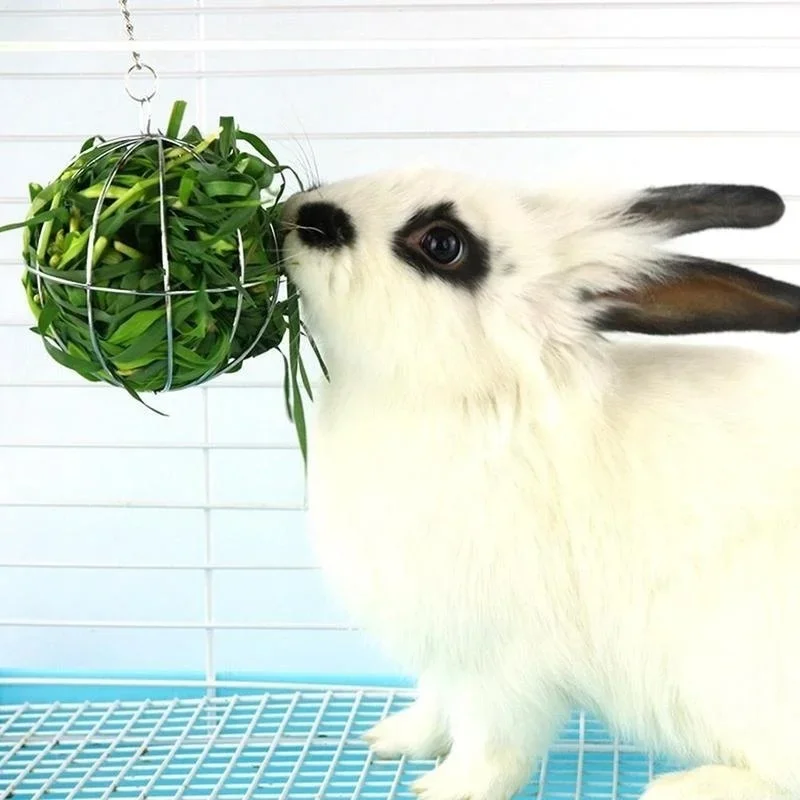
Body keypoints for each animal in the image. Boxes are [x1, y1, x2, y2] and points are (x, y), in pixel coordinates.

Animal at [281, 167, 800, 800]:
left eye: (444, 244)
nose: (301, 214)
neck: (475, 399)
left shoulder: (503, 665)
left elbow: (490, 744)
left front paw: (447, 788)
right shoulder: (445, 650)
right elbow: (435, 702)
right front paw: (395, 740)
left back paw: (684, 787)